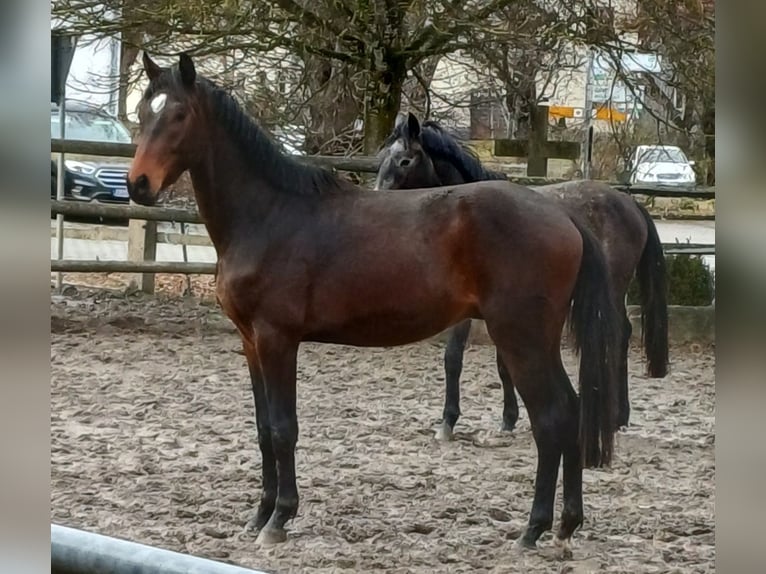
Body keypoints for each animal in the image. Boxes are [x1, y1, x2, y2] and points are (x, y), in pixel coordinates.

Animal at [127, 52, 622, 551]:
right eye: (144, 112)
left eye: (179, 115)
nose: (138, 184)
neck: (269, 215)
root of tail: (563, 215)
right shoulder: (251, 342)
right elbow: (264, 429)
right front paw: (259, 514)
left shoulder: (277, 340)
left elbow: (284, 429)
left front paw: (279, 519)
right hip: (535, 341)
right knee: (571, 411)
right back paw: (566, 523)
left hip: (522, 339)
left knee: (552, 418)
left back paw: (533, 529)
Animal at [375, 112, 669, 441]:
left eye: (404, 160)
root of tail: (628, 202)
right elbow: (489, 362)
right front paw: (507, 418)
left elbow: (459, 356)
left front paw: (450, 421)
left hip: (613, 289)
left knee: (620, 334)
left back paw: (618, 415)